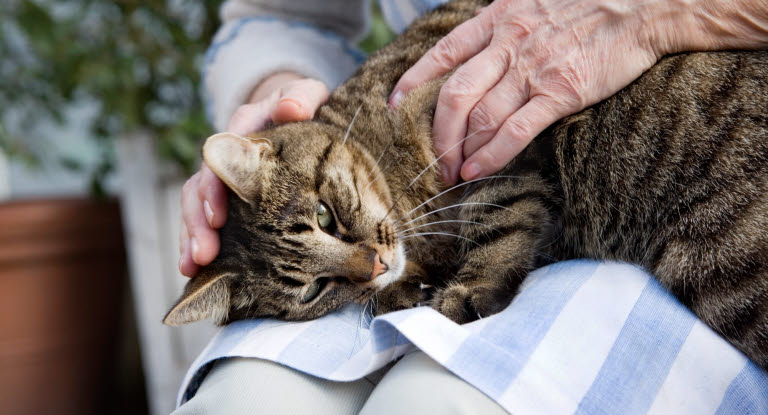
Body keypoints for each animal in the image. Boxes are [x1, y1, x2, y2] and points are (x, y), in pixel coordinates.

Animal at [166, 0, 768, 370]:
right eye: (313, 290)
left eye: (324, 216)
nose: (375, 266)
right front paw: (405, 291)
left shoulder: (486, 126)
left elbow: (497, 216)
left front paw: (463, 292)